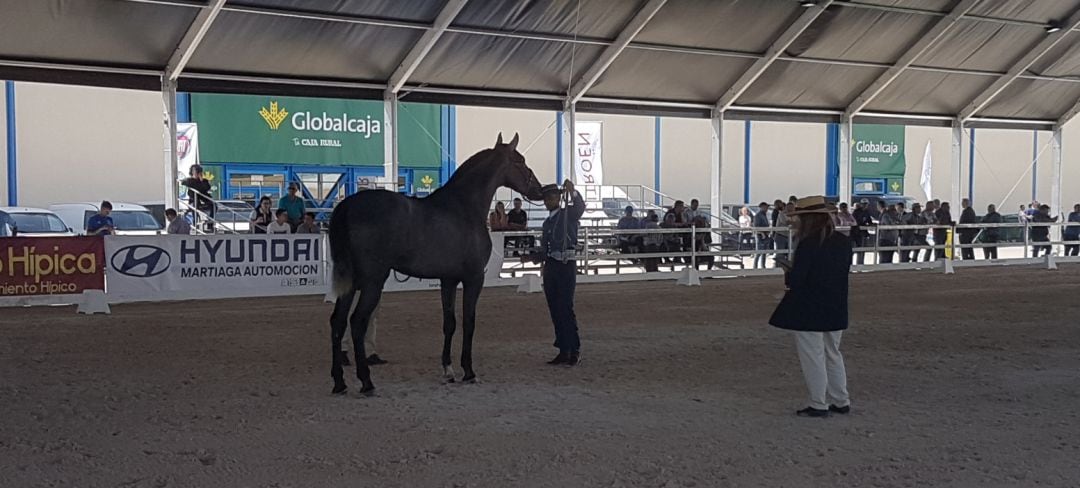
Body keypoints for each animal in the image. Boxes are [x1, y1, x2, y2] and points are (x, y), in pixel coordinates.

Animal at [327, 133, 544, 395]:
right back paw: (366, 382)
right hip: (372, 281)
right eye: (520, 161)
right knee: (357, 322)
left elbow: (449, 323)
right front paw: (468, 371)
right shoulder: (474, 279)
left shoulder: (448, 280)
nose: (540, 190)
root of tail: (346, 206)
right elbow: (469, 322)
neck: (464, 206)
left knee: (337, 322)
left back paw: (339, 382)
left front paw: (448, 370)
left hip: (351, 283)